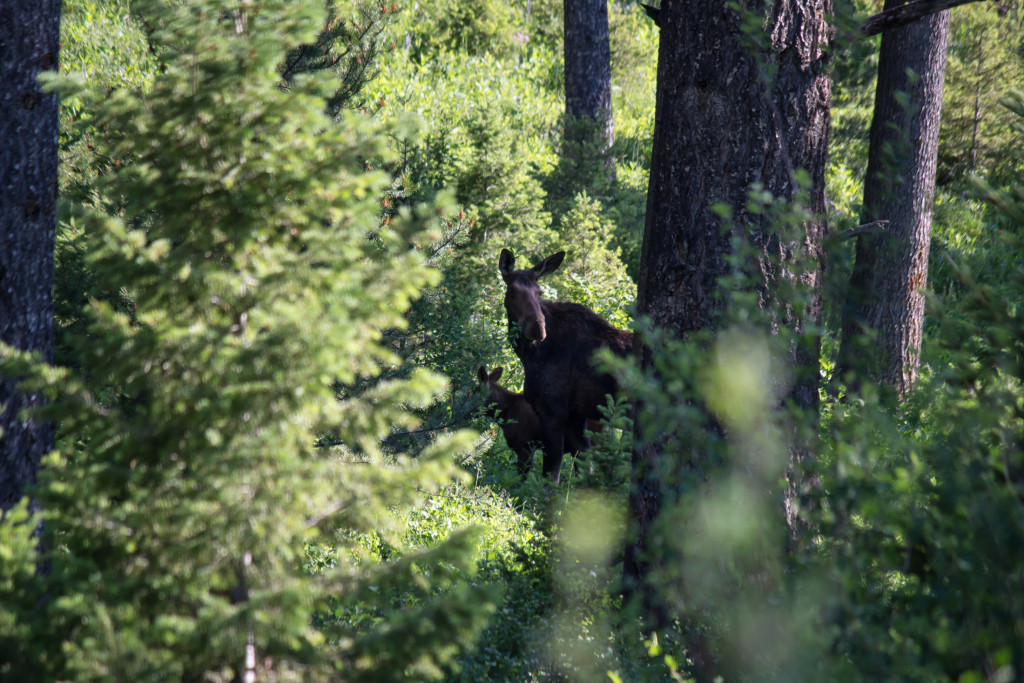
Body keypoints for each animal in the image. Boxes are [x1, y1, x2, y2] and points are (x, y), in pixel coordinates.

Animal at [497, 249, 630, 481]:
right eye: (512, 290)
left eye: (539, 292)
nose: (537, 328)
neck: (530, 355)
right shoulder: (576, 417)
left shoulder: (552, 413)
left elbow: (550, 479)